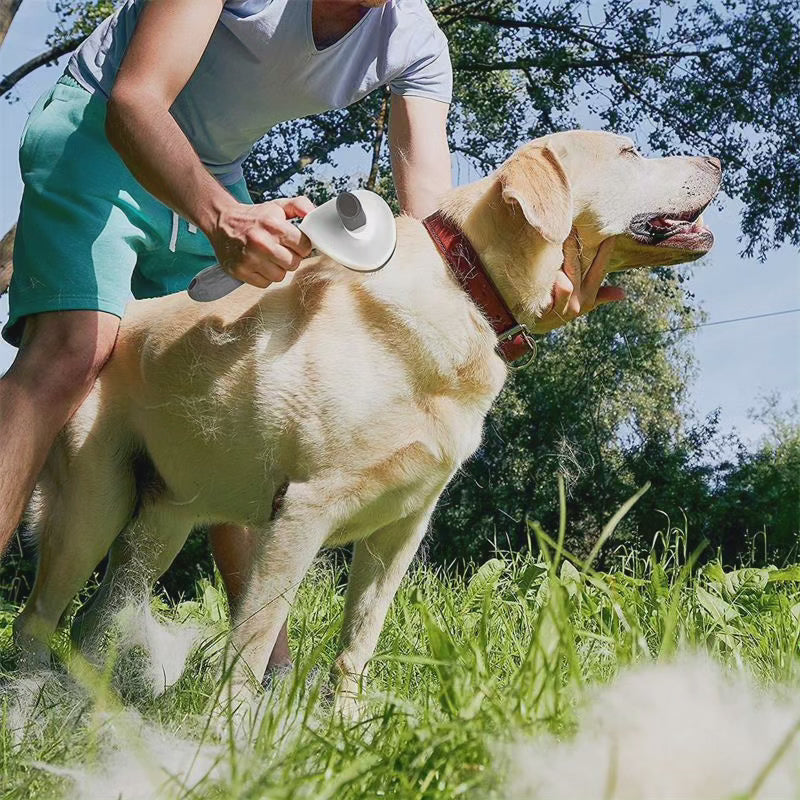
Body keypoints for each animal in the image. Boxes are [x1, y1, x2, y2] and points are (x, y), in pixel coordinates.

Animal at [15, 131, 720, 712]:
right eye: (629, 153)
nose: (715, 163)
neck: (468, 287)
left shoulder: (401, 528)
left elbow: (357, 644)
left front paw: (346, 727)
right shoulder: (301, 513)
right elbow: (252, 644)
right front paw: (229, 741)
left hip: (158, 528)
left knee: (95, 625)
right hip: (91, 510)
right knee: (38, 619)